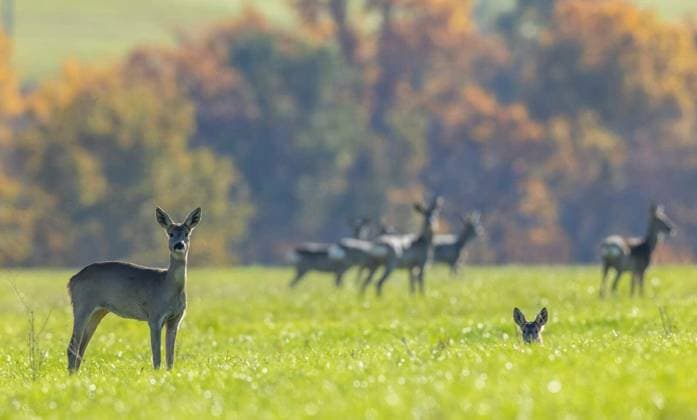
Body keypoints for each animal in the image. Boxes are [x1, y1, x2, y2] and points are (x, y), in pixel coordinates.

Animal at [66, 207, 201, 373]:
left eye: (187, 233)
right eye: (170, 233)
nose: (179, 245)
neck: (166, 286)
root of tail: (71, 281)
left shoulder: (176, 319)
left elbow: (170, 359)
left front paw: (169, 374)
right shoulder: (154, 315)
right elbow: (157, 356)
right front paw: (157, 375)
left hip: (98, 312)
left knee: (81, 347)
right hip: (82, 305)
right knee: (73, 346)